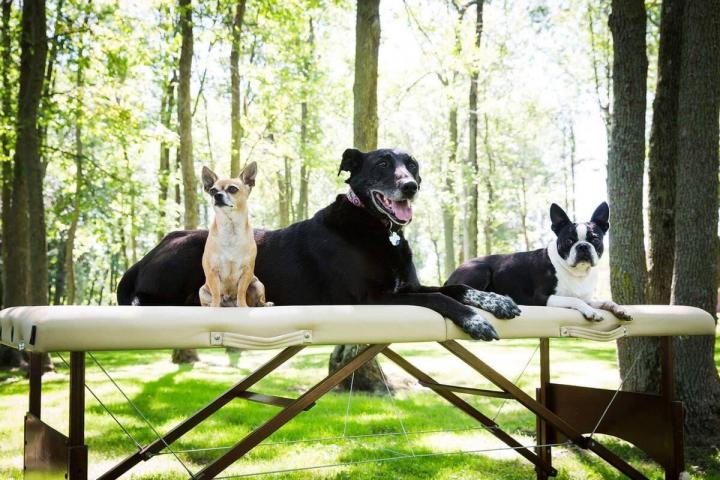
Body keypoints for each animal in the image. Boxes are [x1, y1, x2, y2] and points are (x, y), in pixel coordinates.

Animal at [121, 148, 520, 340]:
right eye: (382, 163)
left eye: (413, 164)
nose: (410, 186)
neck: (374, 226)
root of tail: (150, 252)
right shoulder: (371, 299)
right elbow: (438, 298)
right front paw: (475, 320)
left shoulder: (405, 286)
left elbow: (455, 287)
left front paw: (495, 300)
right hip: (191, 249)